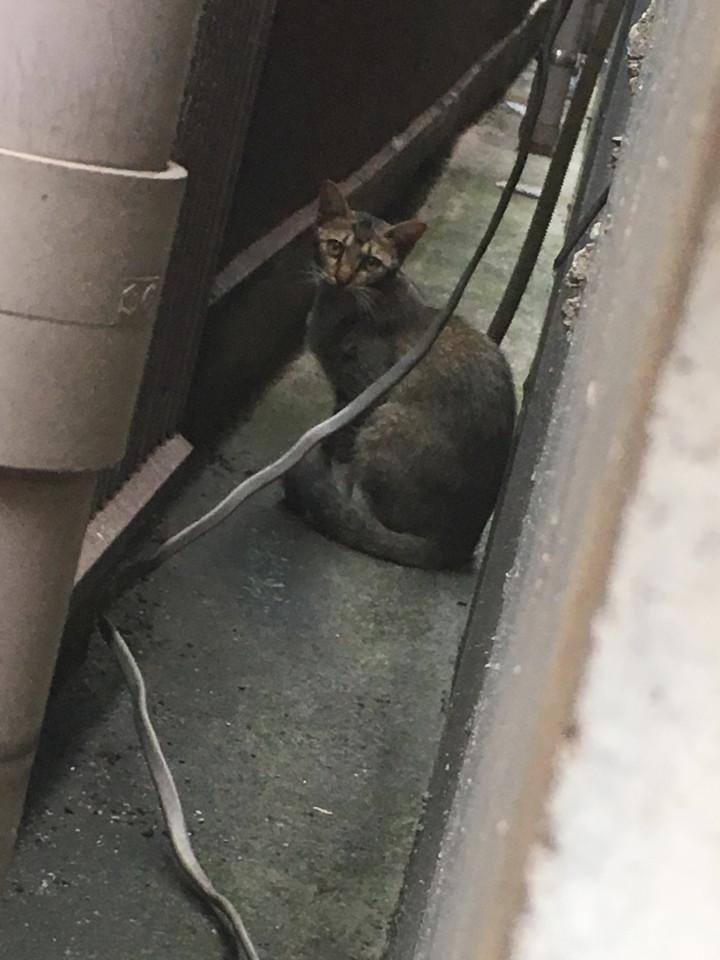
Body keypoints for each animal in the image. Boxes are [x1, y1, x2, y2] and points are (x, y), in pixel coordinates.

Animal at [282, 180, 516, 570]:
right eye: (335, 246)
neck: (340, 310)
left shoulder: (361, 392)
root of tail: (460, 542)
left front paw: (330, 480)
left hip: (387, 419)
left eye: (371, 262)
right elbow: (331, 435)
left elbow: (341, 445)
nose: (342, 277)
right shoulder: (342, 394)